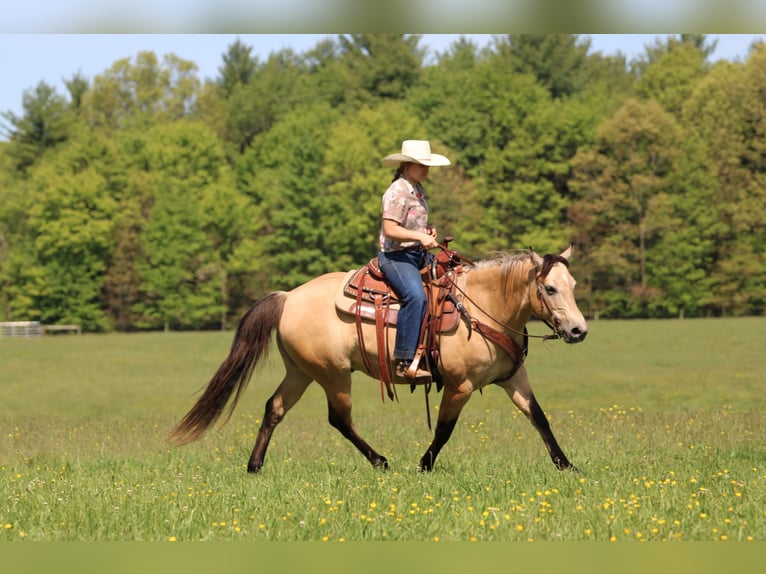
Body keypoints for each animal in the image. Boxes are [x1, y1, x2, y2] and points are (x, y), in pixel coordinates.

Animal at [168, 244, 588, 473]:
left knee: (275, 408)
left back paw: (255, 466)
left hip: (300, 372)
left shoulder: (513, 378)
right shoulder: (459, 385)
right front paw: (424, 464)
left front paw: (566, 465)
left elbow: (539, 417)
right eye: (550, 288)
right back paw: (381, 461)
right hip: (334, 375)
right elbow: (444, 429)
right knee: (339, 419)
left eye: (572, 285)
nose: (578, 331)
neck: (483, 306)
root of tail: (288, 297)